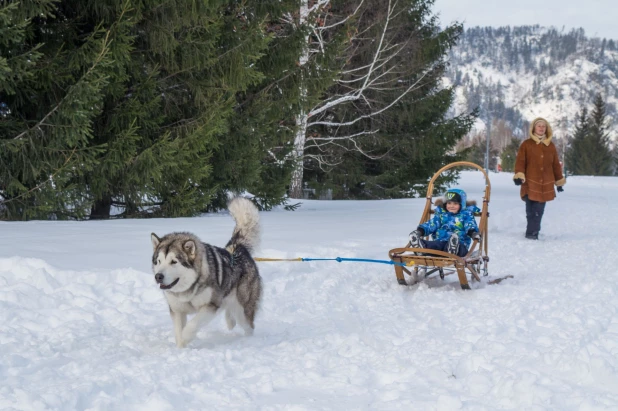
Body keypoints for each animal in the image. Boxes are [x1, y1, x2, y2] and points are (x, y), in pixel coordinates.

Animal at [153, 196, 264, 348]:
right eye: (158, 261)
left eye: (174, 261)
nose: (158, 276)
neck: (188, 290)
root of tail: (237, 249)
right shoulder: (177, 310)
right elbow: (178, 331)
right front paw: (181, 347)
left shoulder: (210, 306)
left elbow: (193, 324)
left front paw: (187, 336)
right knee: (229, 311)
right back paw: (230, 321)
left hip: (243, 308)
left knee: (249, 326)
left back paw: (248, 340)